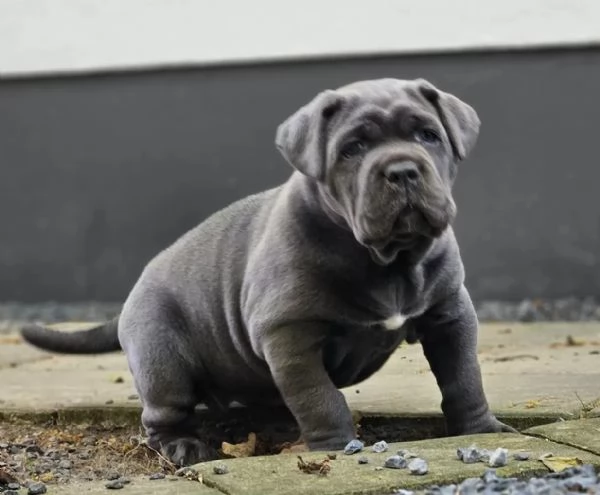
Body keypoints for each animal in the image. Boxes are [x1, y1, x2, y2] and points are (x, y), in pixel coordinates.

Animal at [21, 79, 512, 466]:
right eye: (352, 149)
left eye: (428, 135)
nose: (402, 169)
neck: (387, 259)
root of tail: (131, 295)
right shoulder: (289, 333)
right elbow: (319, 396)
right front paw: (336, 446)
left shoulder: (450, 314)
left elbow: (464, 377)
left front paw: (480, 428)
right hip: (162, 358)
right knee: (163, 413)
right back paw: (184, 446)